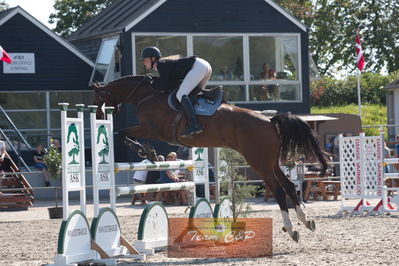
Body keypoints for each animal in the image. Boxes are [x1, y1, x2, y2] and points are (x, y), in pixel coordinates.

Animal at [93, 74, 328, 241]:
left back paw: (291, 229)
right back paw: (306, 221)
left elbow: (123, 133)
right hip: (271, 163)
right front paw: (148, 151)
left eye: (98, 98)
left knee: (279, 190)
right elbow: (125, 133)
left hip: (259, 163)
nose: (99, 117)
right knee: (289, 186)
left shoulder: (151, 129)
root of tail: (270, 121)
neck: (145, 95)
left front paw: (146, 151)